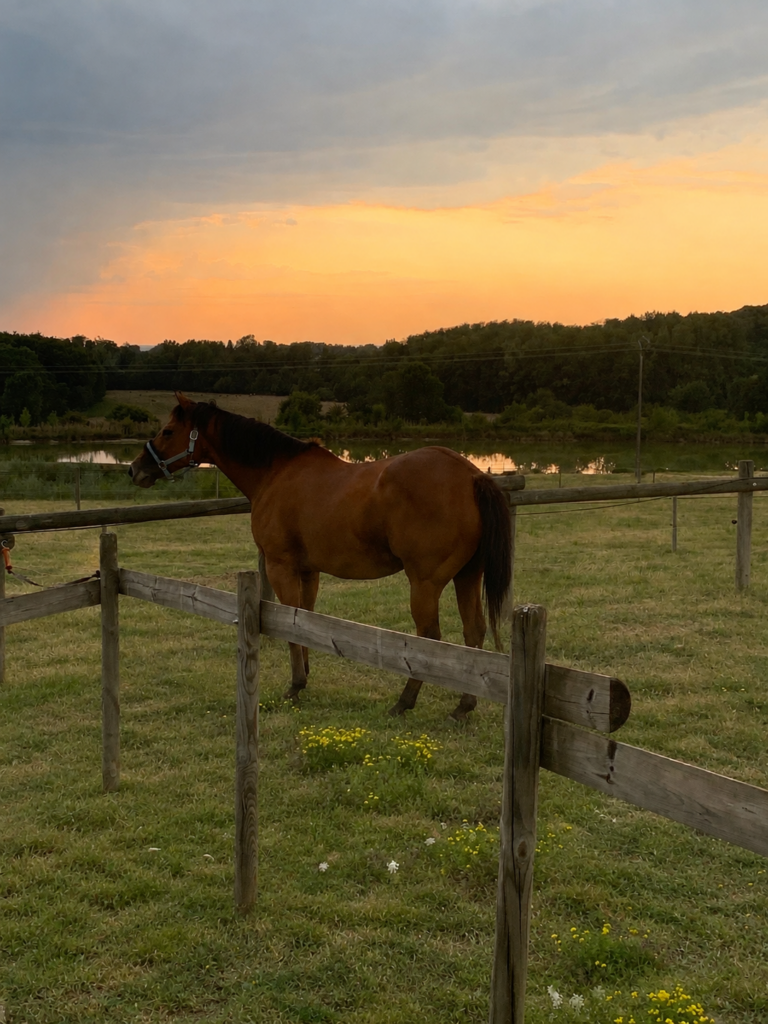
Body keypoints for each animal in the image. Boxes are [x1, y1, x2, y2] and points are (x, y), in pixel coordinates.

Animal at [128, 393, 511, 720]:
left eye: (167, 431)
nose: (135, 469)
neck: (276, 472)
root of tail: (471, 475)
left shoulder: (281, 567)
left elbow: (292, 622)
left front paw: (295, 685)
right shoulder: (308, 571)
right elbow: (306, 621)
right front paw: (305, 676)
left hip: (425, 583)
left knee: (428, 638)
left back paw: (405, 701)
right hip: (467, 576)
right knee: (474, 632)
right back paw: (464, 705)